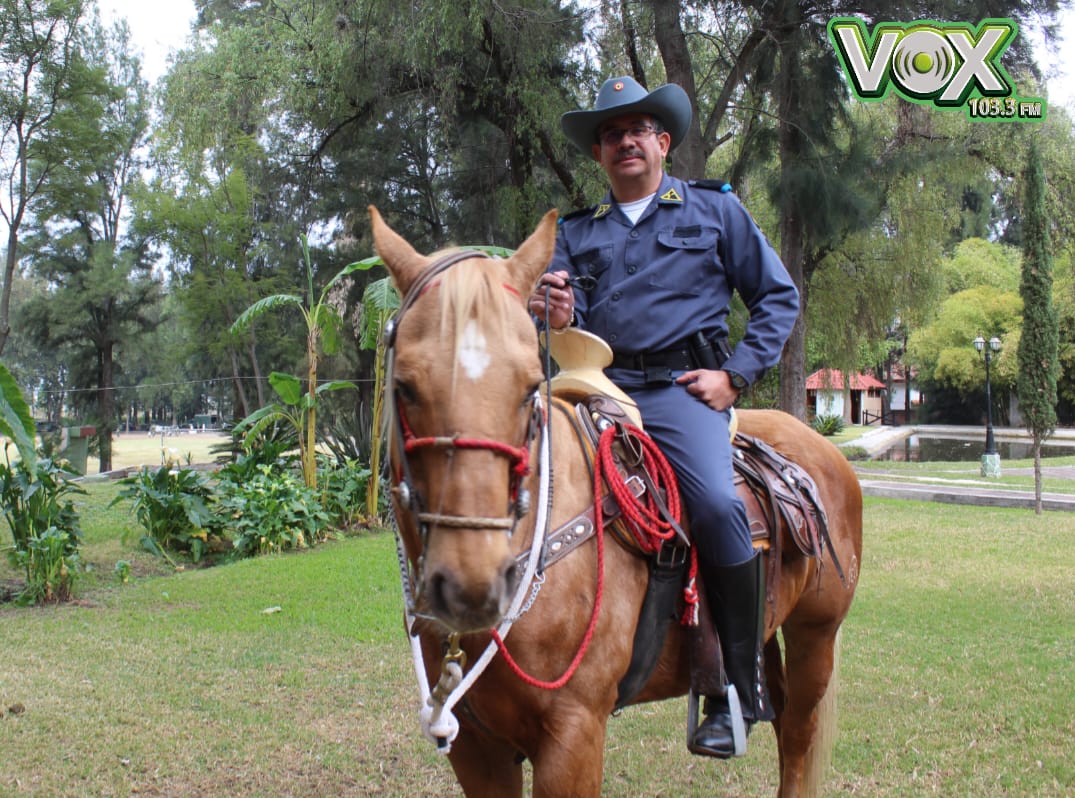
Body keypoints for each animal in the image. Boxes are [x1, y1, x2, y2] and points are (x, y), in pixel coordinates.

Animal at [370, 205, 862, 797]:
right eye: (404, 386)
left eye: (530, 387)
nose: (471, 585)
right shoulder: (474, 747)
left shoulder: (574, 735)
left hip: (817, 634)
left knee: (798, 734)